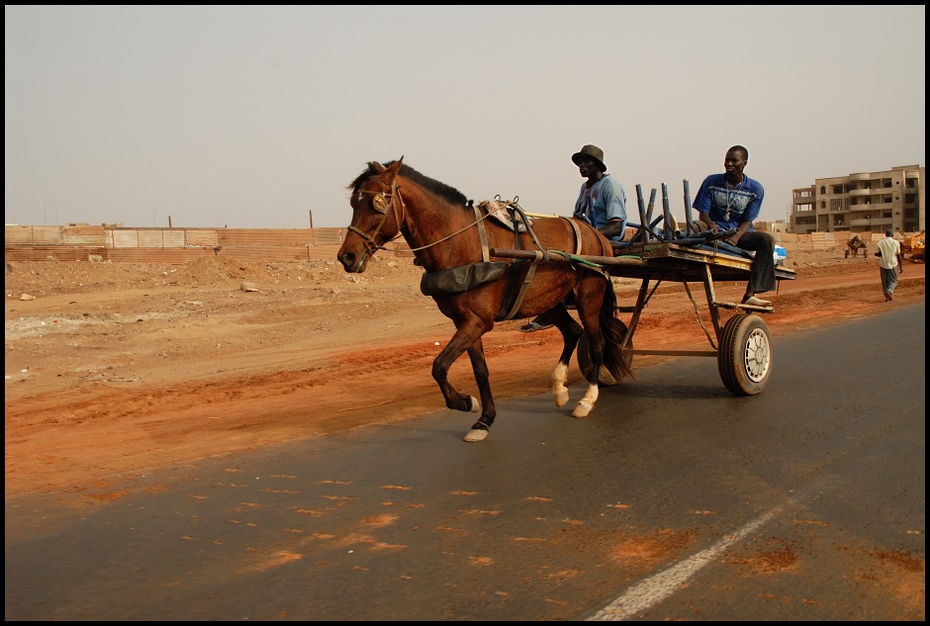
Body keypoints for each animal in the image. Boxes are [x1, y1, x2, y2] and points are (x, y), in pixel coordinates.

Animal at [336, 156, 632, 438]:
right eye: (352, 202)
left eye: (378, 202)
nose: (347, 256)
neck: (459, 242)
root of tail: (597, 234)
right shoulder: (466, 321)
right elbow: (479, 370)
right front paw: (483, 419)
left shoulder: (478, 321)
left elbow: (439, 365)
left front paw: (464, 402)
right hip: (552, 300)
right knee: (573, 332)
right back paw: (559, 389)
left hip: (588, 296)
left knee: (597, 343)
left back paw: (587, 399)